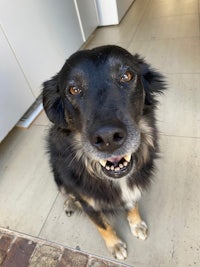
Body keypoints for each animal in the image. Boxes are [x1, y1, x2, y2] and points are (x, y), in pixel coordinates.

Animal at [41, 45, 164, 260]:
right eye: (74, 89)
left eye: (126, 76)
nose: (108, 138)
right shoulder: (88, 203)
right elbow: (102, 225)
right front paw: (115, 245)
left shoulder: (132, 187)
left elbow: (132, 204)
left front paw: (136, 223)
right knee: (66, 192)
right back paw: (70, 203)